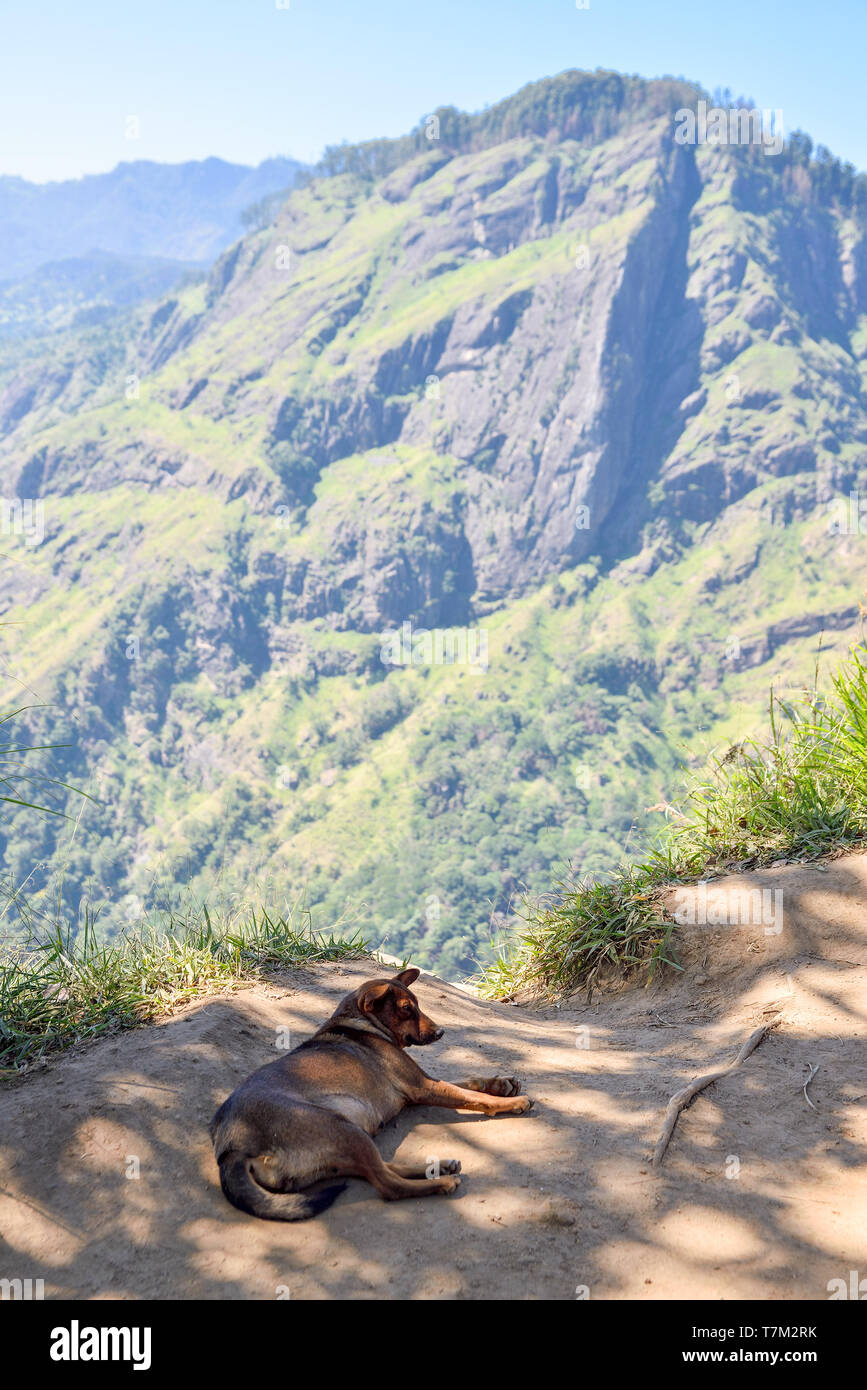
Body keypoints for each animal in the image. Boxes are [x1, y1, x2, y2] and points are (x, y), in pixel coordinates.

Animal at [211, 973, 536, 1223]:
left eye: (418, 1006)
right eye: (406, 1009)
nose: (441, 1032)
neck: (357, 1021)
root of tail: (231, 1148)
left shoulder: (422, 1084)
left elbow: (470, 1082)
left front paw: (502, 1084)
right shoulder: (422, 1086)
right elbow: (471, 1095)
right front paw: (511, 1103)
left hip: (347, 1142)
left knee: (384, 1167)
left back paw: (439, 1167)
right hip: (341, 1127)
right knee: (388, 1185)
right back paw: (443, 1181)